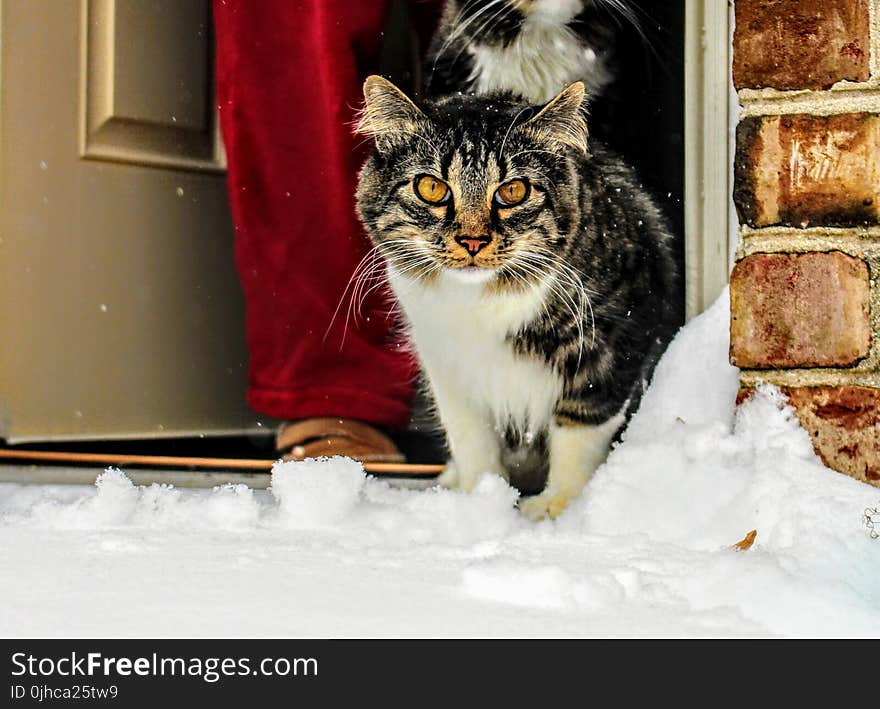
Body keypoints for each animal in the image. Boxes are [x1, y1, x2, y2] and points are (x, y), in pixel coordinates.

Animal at [354, 76, 676, 520]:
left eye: (514, 190)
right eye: (431, 188)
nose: (473, 240)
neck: (480, 303)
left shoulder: (615, 339)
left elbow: (579, 430)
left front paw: (557, 508)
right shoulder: (447, 364)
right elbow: (471, 439)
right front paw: (480, 501)